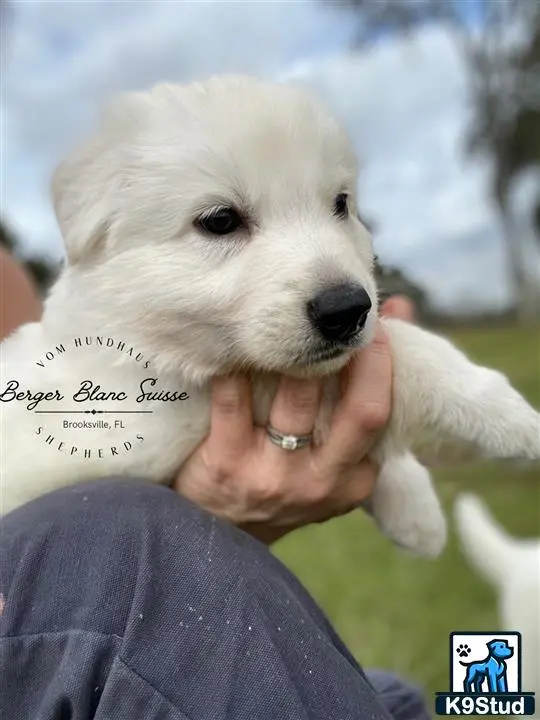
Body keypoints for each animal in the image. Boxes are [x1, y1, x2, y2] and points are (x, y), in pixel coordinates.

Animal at [1, 76, 540, 556]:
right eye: (220, 221)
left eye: (340, 204)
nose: (348, 309)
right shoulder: (166, 407)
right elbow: (406, 353)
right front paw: (513, 420)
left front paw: (415, 509)